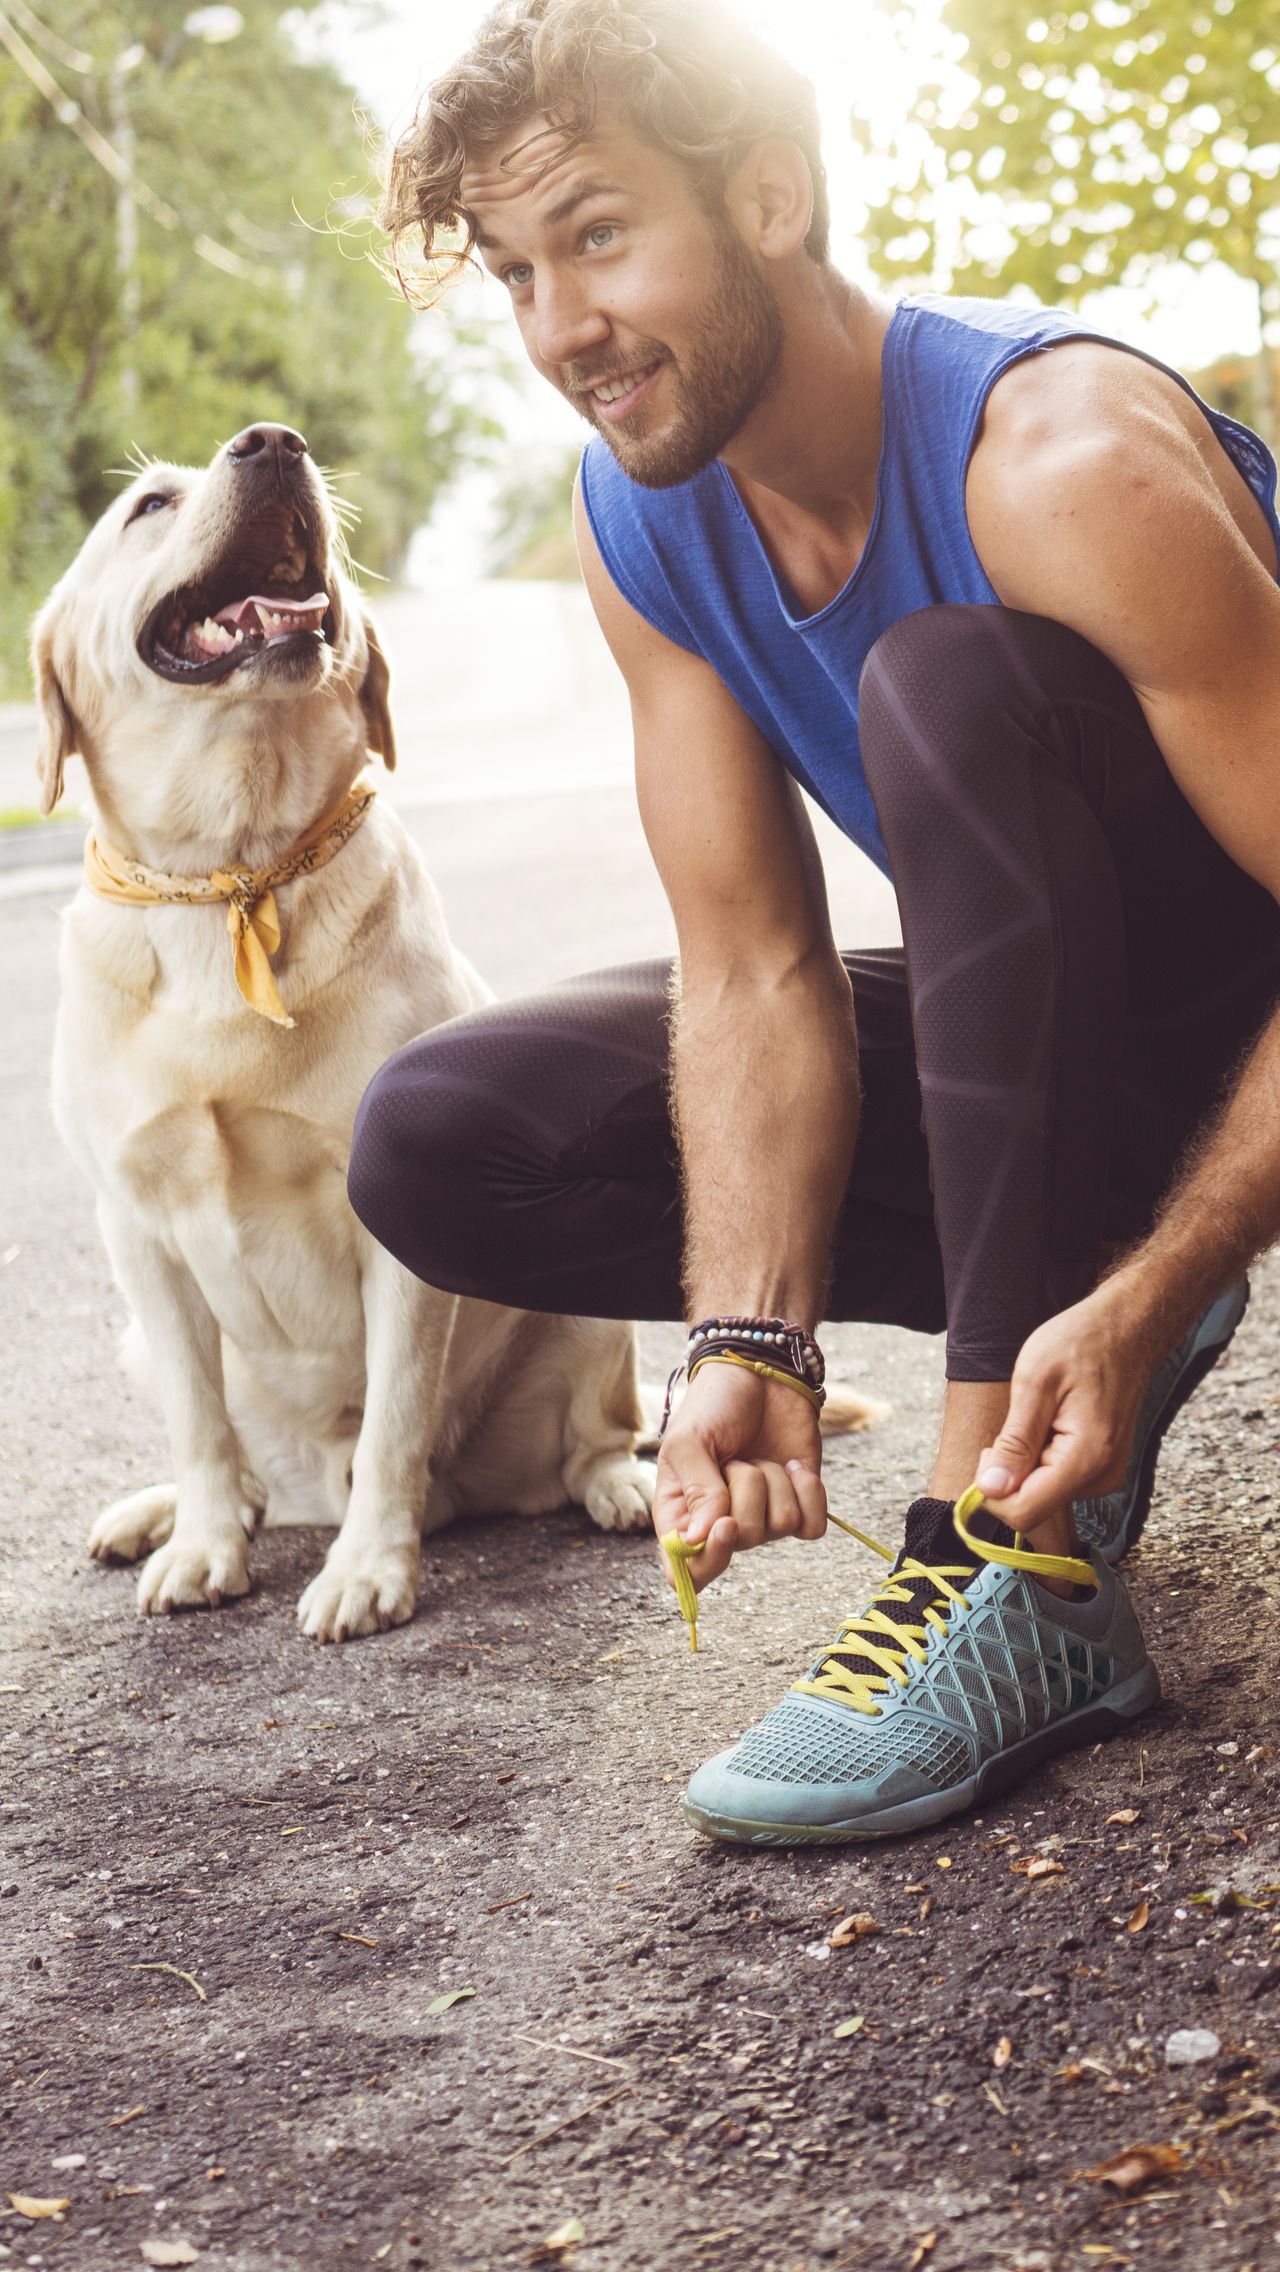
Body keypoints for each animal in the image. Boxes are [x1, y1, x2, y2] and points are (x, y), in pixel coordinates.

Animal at [35, 422, 654, 1635]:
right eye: (148, 505)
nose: (273, 443)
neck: (230, 870)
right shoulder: (134, 1228)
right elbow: (198, 1420)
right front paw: (202, 1546)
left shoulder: (392, 1231)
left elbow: (395, 1421)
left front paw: (369, 1568)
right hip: (137, 1337)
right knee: (239, 1463)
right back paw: (160, 1513)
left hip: (582, 1315)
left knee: (591, 1438)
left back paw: (622, 1488)